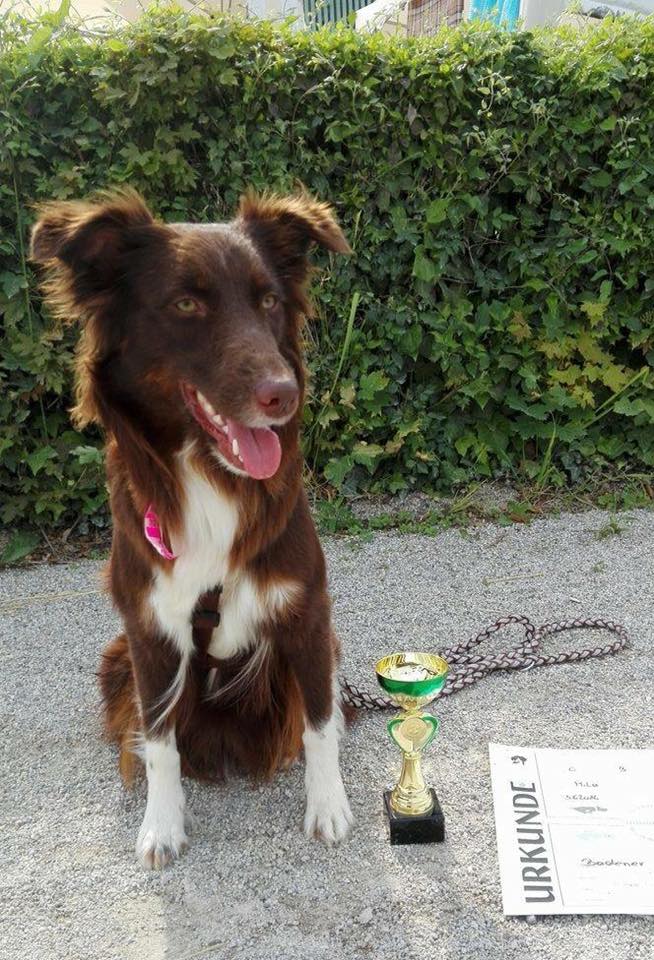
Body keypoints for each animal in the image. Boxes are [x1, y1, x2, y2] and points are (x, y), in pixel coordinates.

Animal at [31, 188, 353, 868]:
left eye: (269, 301)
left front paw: (329, 808)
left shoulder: (308, 613)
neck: (210, 476)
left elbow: (317, 722)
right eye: (185, 304)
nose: (282, 394)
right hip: (114, 659)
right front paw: (162, 826)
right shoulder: (149, 632)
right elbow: (159, 741)